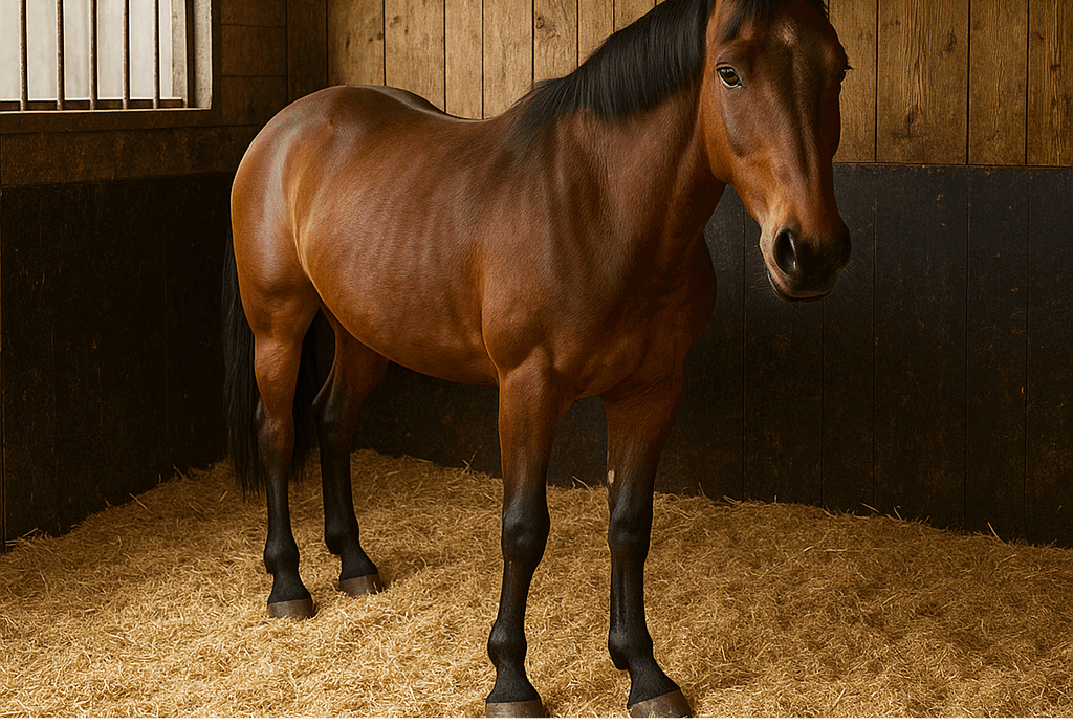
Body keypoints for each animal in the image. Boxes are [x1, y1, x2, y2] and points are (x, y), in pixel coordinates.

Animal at [222, 0, 850, 716]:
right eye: (729, 73)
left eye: (838, 68)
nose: (811, 251)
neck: (600, 210)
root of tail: (284, 127)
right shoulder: (528, 388)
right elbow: (523, 529)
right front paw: (511, 679)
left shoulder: (651, 391)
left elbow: (630, 526)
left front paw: (644, 672)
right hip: (278, 325)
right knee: (278, 433)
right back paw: (287, 584)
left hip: (361, 330)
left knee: (332, 421)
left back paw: (354, 563)